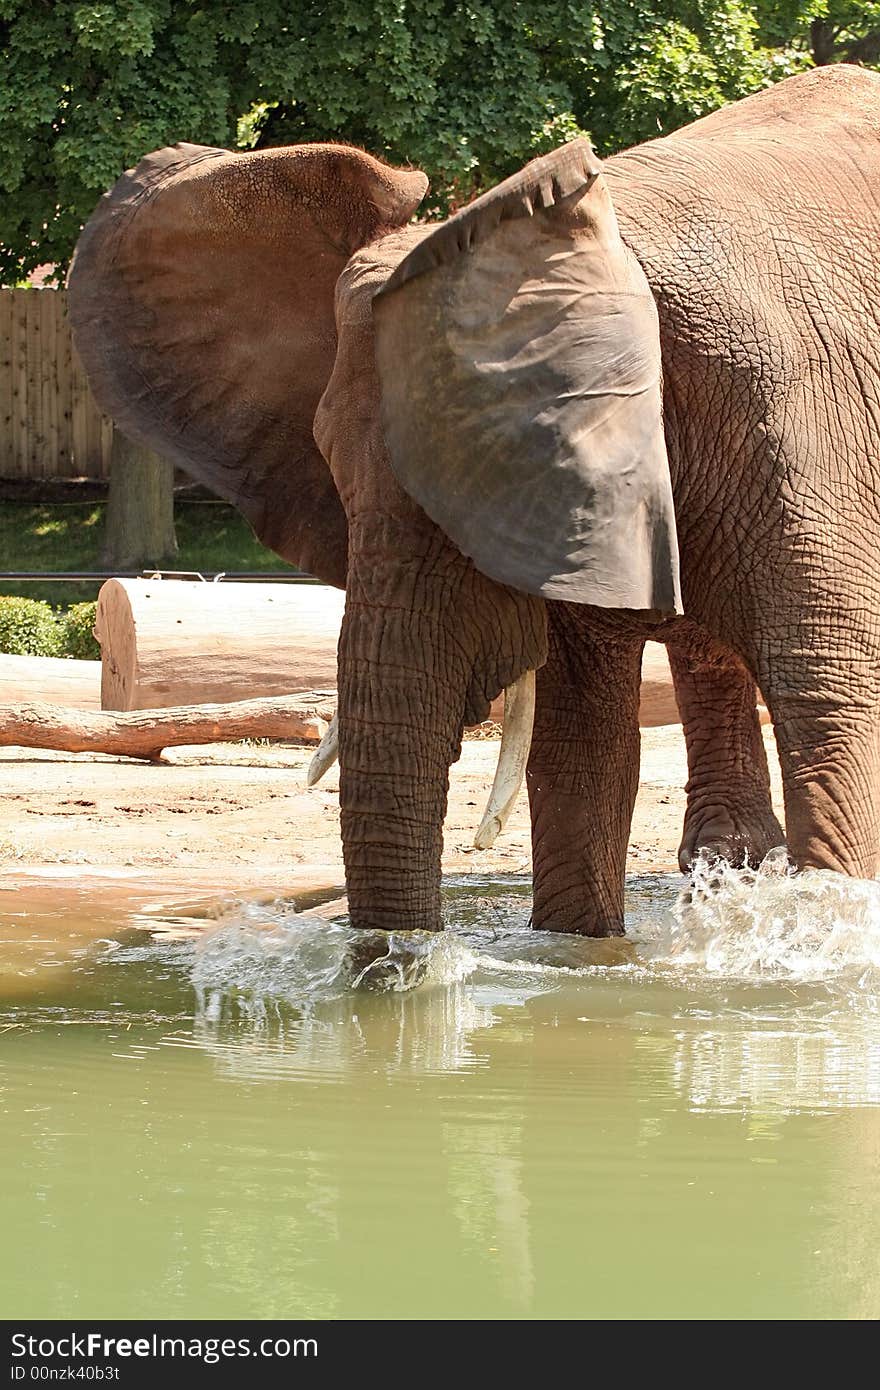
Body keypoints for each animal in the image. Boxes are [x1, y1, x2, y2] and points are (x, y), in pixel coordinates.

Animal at [67, 62, 878, 934]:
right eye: (328, 461)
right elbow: (581, 744)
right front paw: (580, 949)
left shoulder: (796, 423)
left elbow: (830, 703)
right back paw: (728, 869)